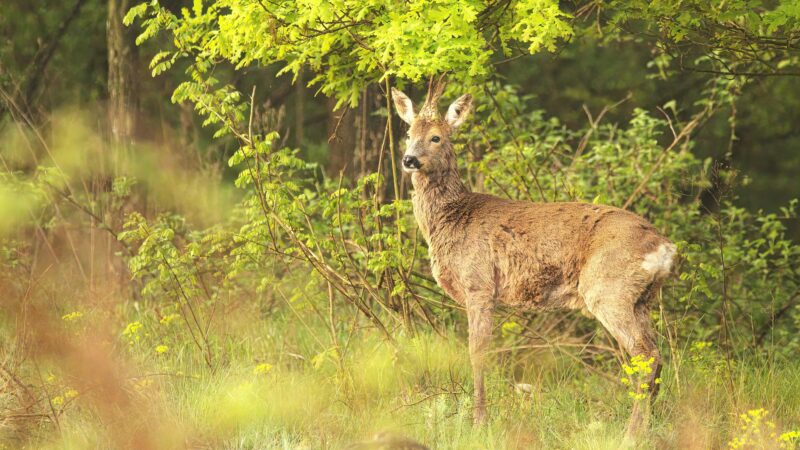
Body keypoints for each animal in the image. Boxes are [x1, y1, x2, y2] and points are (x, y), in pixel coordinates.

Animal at [394, 79, 676, 438]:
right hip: (641, 299)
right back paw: (644, 427)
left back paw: (631, 433)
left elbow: (477, 352)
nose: (409, 159)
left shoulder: (479, 284)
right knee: (655, 355)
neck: (451, 219)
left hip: (609, 290)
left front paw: (479, 422)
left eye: (436, 137)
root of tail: (664, 246)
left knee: (646, 353)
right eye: (408, 132)